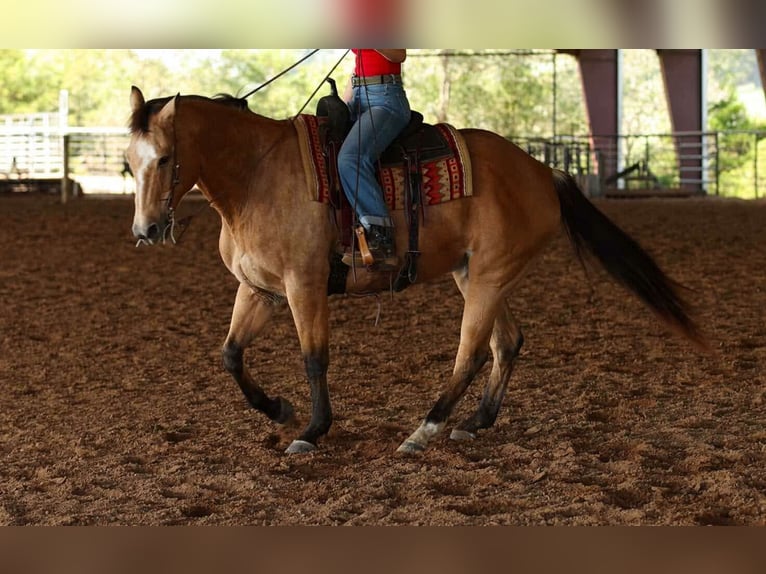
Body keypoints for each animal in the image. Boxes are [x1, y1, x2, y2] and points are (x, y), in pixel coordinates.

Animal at [126, 85, 706, 455]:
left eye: (163, 158)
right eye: (130, 164)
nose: (146, 230)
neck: (257, 175)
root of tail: (543, 171)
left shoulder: (303, 286)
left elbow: (315, 359)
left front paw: (312, 431)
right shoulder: (258, 290)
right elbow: (230, 355)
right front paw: (281, 411)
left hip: (488, 278)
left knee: (471, 354)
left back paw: (424, 431)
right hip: (475, 276)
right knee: (507, 343)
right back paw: (474, 423)